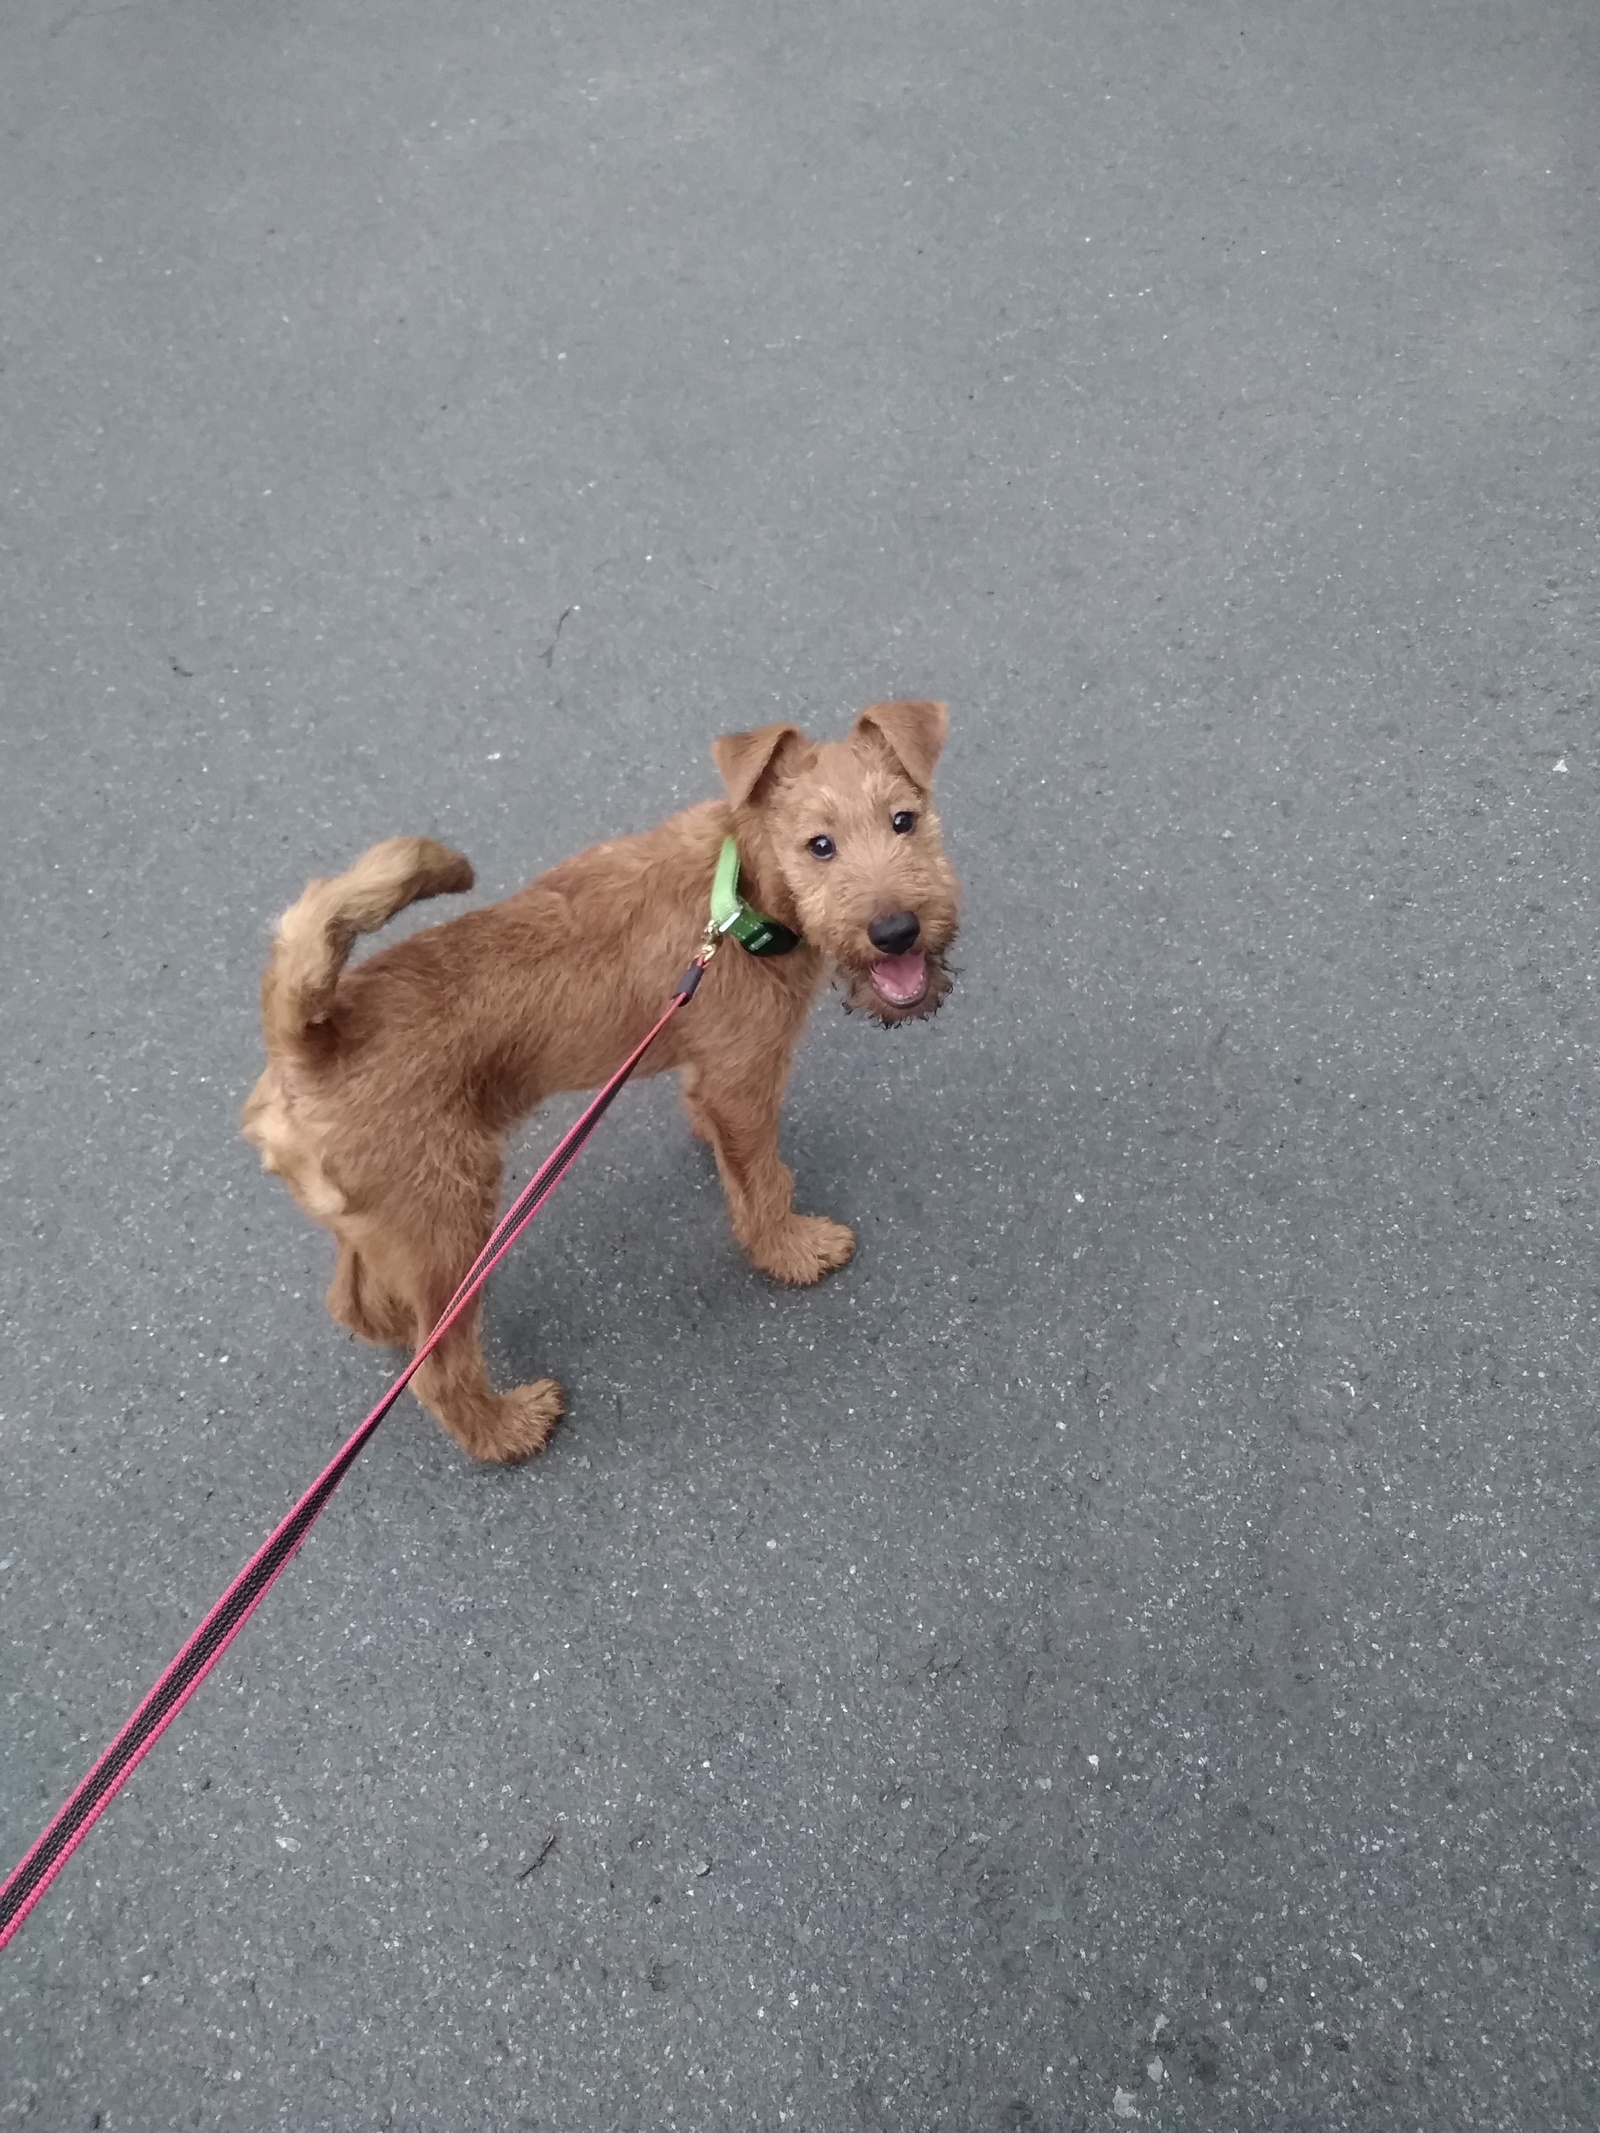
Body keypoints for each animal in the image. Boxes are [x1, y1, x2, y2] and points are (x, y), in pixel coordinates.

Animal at [240, 699, 964, 1467]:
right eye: (819, 845)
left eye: (904, 821)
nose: (897, 930)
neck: (742, 892)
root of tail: (307, 1042)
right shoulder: (744, 1080)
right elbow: (764, 1185)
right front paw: (792, 1251)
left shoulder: (714, 1069)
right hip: (449, 1222)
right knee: (439, 1369)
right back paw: (507, 1428)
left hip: (386, 1220)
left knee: (354, 1302)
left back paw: (395, 1329)